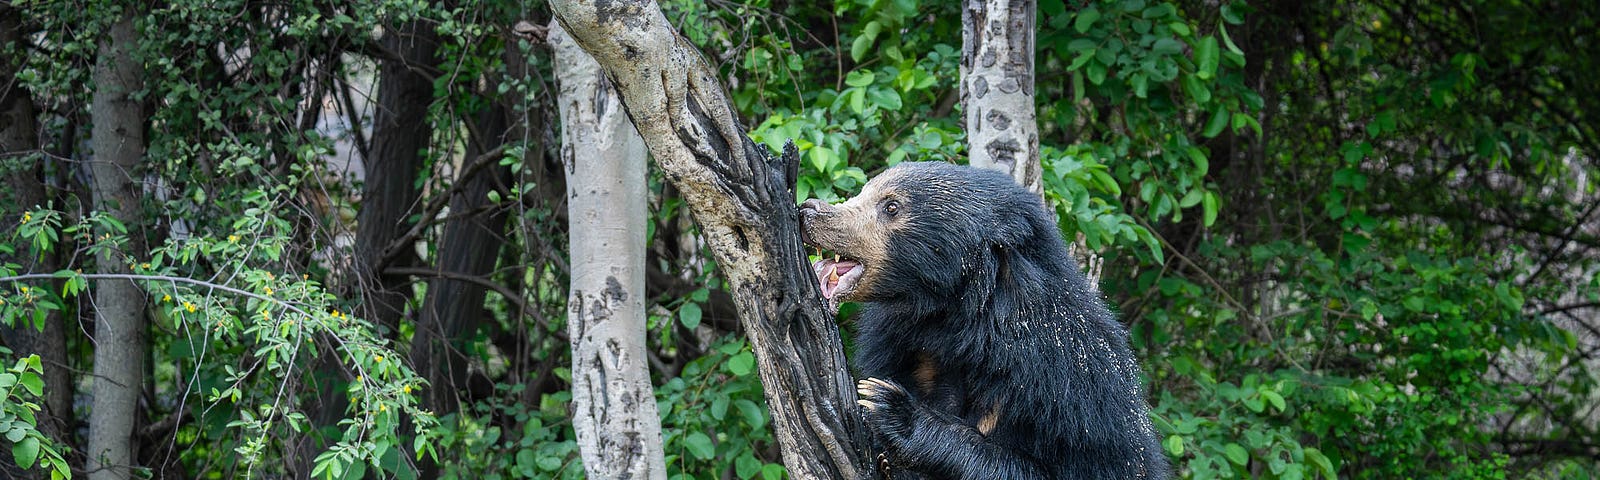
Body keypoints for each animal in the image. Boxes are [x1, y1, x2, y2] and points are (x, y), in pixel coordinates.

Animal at [796, 162, 1164, 480]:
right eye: (865, 191)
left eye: (891, 206)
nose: (809, 210)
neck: (959, 325)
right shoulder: (897, 345)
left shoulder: (1073, 395)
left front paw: (888, 405)